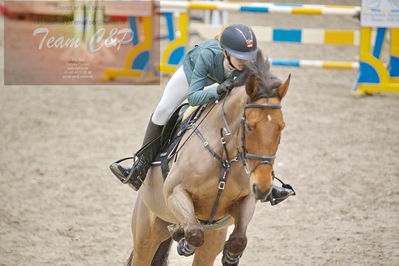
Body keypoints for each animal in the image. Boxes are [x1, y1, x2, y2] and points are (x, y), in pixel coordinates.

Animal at [127, 48, 290, 264]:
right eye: (249, 126)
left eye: (281, 127)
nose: (263, 187)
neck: (225, 157)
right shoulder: (175, 192)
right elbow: (195, 232)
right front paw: (184, 240)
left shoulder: (246, 198)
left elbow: (239, 239)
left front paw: (231, 256)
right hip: (146, 233)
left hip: (212, 239)